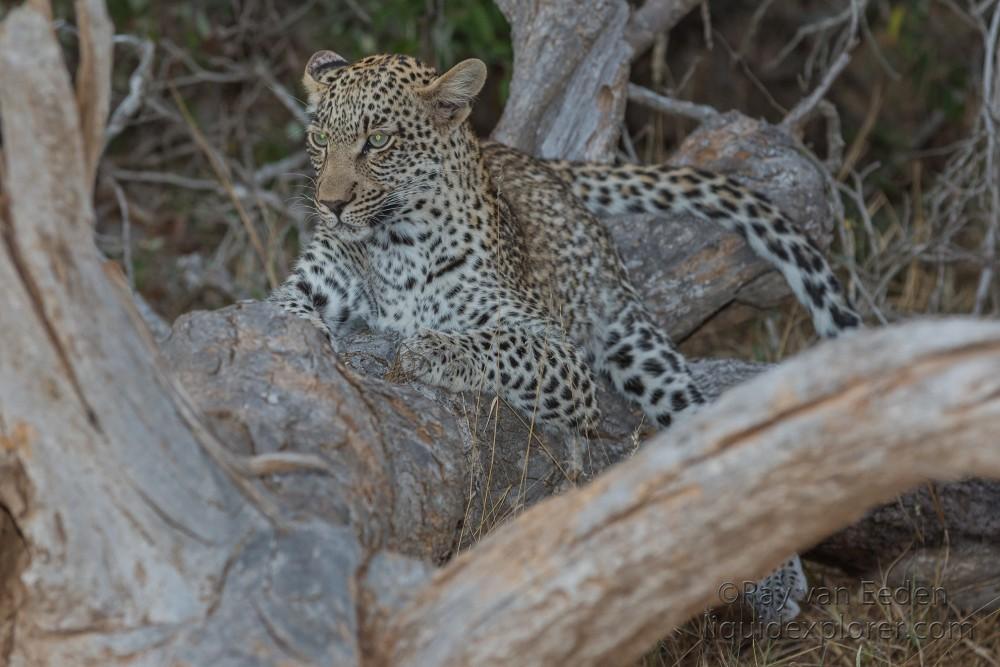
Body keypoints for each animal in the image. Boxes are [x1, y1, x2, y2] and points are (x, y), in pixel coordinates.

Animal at [270, 49, 864, 624]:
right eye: (320, 140)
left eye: (378, 141)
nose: (330, 205)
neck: (394, 245)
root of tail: (523, 157)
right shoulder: (304, 289)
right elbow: (290, 317)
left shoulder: (560, 354)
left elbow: (499, 344)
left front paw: (430, 349)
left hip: (636, 342)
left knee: (712, 428)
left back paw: (776, 577)